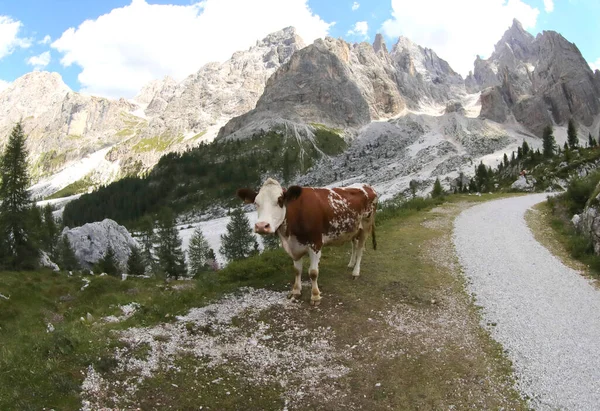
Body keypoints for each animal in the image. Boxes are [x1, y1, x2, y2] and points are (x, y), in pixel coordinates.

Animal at [237, 179, 378, 306]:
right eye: (256, 203)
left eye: (280, 200)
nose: (261, 226)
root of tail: (367, 185)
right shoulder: (293, 246)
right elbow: (297, 270)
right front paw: (296, 291)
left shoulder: (315, 244)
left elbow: (313, 272)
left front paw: (315, 296)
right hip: (353, 229)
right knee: (354, 245)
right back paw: (351, 264)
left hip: (366, 226)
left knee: (360, 249)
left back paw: (355, 271)